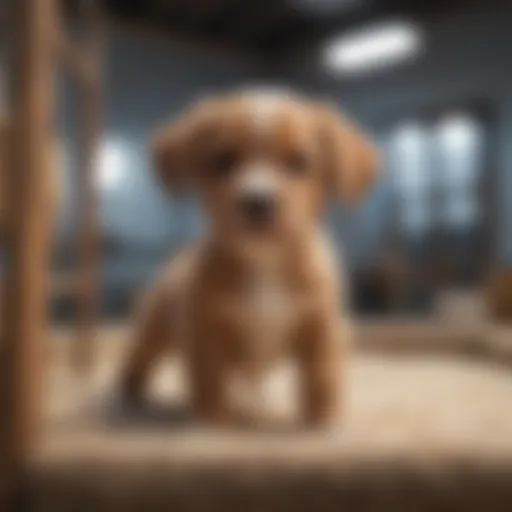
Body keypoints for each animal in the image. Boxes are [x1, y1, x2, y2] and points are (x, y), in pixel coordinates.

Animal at [120, 90, 380, 430]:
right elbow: (210, 381)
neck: (264, 263)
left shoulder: (322, 328)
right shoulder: (206, 331)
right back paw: (128, 399)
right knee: (137, 361)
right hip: (152, 328)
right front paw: (212, 425)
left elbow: (322, 378)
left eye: (299, 162)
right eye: (223, 160)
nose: (257, 201)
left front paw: (324, 423)